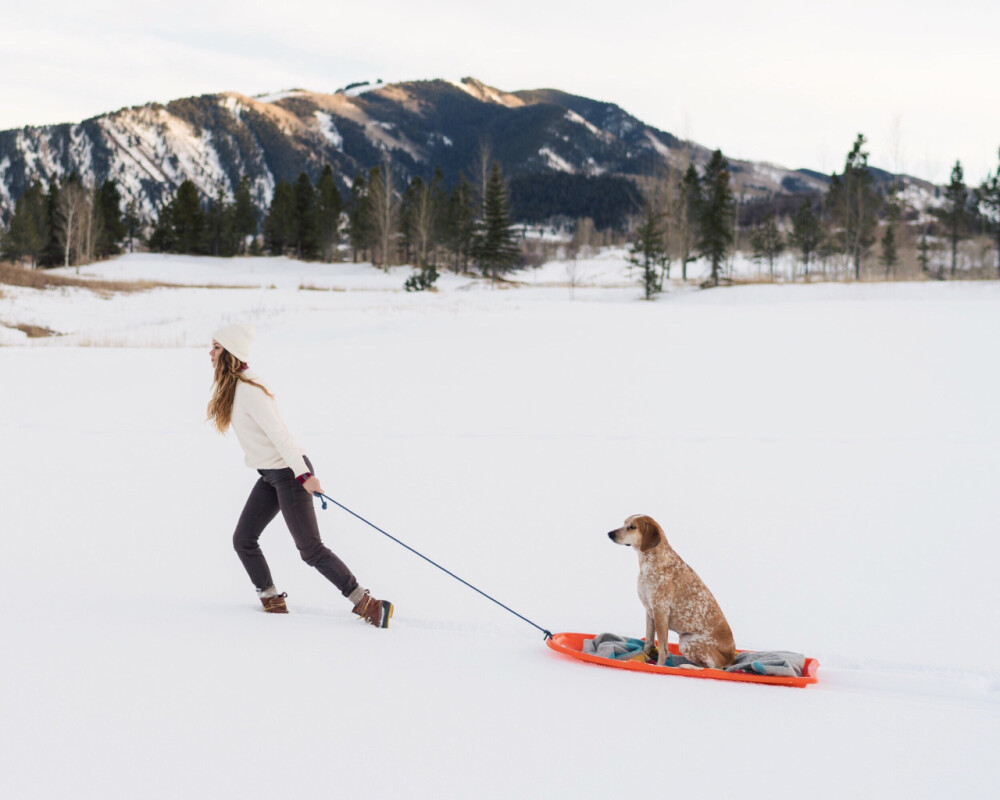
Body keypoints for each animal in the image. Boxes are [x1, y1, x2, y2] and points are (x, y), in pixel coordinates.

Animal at [604, 512, 740, 668]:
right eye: (624, 523)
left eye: (632, 527)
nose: (609, 533)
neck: (649, 563)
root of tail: (732, 658)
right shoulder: (649, 612)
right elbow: (649, 642)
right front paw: (641, 658)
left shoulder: (661, 611)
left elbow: (663, 648)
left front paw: (659, 666)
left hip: (689, 642)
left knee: (712, 668)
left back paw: (687, 666)